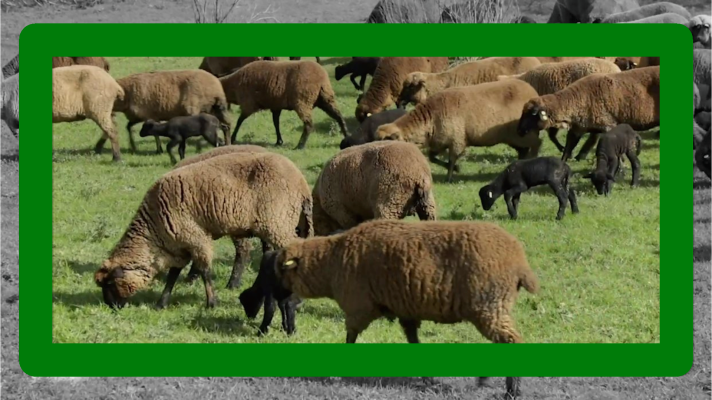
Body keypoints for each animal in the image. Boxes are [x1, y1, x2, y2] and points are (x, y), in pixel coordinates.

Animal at [93, 151, 313, 310]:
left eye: (109, 283)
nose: (111, 307)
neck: (154, 231)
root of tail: (301, 182)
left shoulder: (196, 238)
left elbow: (205, 271)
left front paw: (211, 303)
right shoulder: (180, 245)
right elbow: (173, 275)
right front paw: (161, 304)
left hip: (278, 223)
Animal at [219, 60, 350, 150]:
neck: (231, 85)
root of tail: (322, 78)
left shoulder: (248, 104)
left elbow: (239, 121)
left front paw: (233, 138)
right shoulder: (275, 106)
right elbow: (276, 123)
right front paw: (279, 141)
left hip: (303, 101)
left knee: (309, 124)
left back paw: (300, 146)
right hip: (326, 98)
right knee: (339, 116)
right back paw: (347, 135)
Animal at [241, 218, 538, 400]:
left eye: (280, 270)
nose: (275, 298)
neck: (330, 263)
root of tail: (520, 263)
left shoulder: (358, 306)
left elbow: (350, 338)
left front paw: (340, 371)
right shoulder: (405, 310)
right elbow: (414, 342)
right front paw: (427, 377)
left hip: (489, 304)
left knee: (513, 341)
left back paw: (512, 391)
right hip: (493, 307)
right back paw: (488, 379)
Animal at [374, 79, 542, 183]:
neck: (430, 117)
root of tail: (532, 92)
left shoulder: (457, 140)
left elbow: (451, 159)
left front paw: (450, 176)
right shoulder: (440, 141)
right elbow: (433, 157)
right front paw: (455, 169)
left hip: (523, 133)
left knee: (537, 143)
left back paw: (531, 161)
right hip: (515, 137)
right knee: (523, 150)